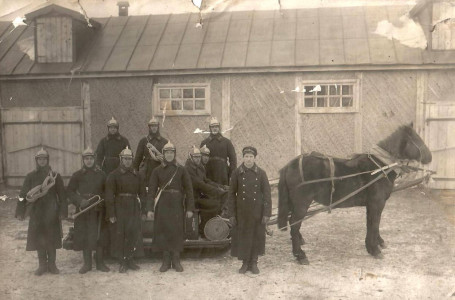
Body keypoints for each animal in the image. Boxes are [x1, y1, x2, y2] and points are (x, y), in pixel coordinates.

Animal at [278, 123, 432, 264]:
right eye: (417, 139)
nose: (430, 157)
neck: (380, 167)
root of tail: (289, 165)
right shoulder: (377, 203)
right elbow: (375, 223)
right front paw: (375, 249)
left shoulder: (371, 205)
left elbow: (371, 224)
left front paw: (373, 245)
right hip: (302, 204)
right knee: (294, 224)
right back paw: (300, 255)